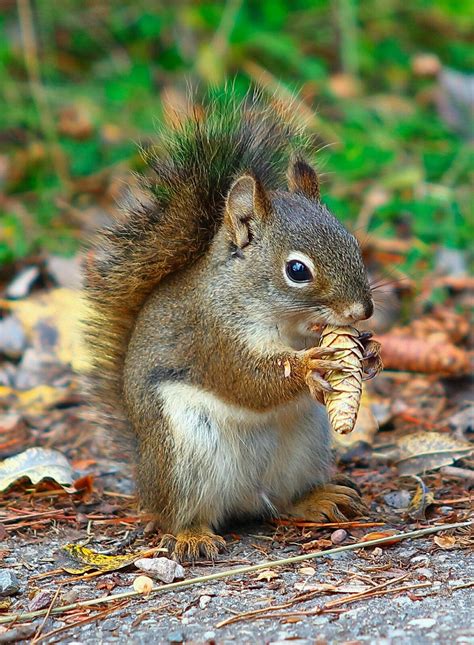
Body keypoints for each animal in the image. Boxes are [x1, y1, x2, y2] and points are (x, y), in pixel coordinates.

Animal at [82, 89, 378, 560]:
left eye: (352, 242)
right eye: (297, 270)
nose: (361, 312)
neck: (283, 321)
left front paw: (368, 351)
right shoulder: (212, 334)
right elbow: (246, 379)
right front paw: (308, 366)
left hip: (304, 449)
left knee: (281, 499)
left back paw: (317, 499)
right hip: (183, 457)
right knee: (178, 514)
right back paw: (192, 536)